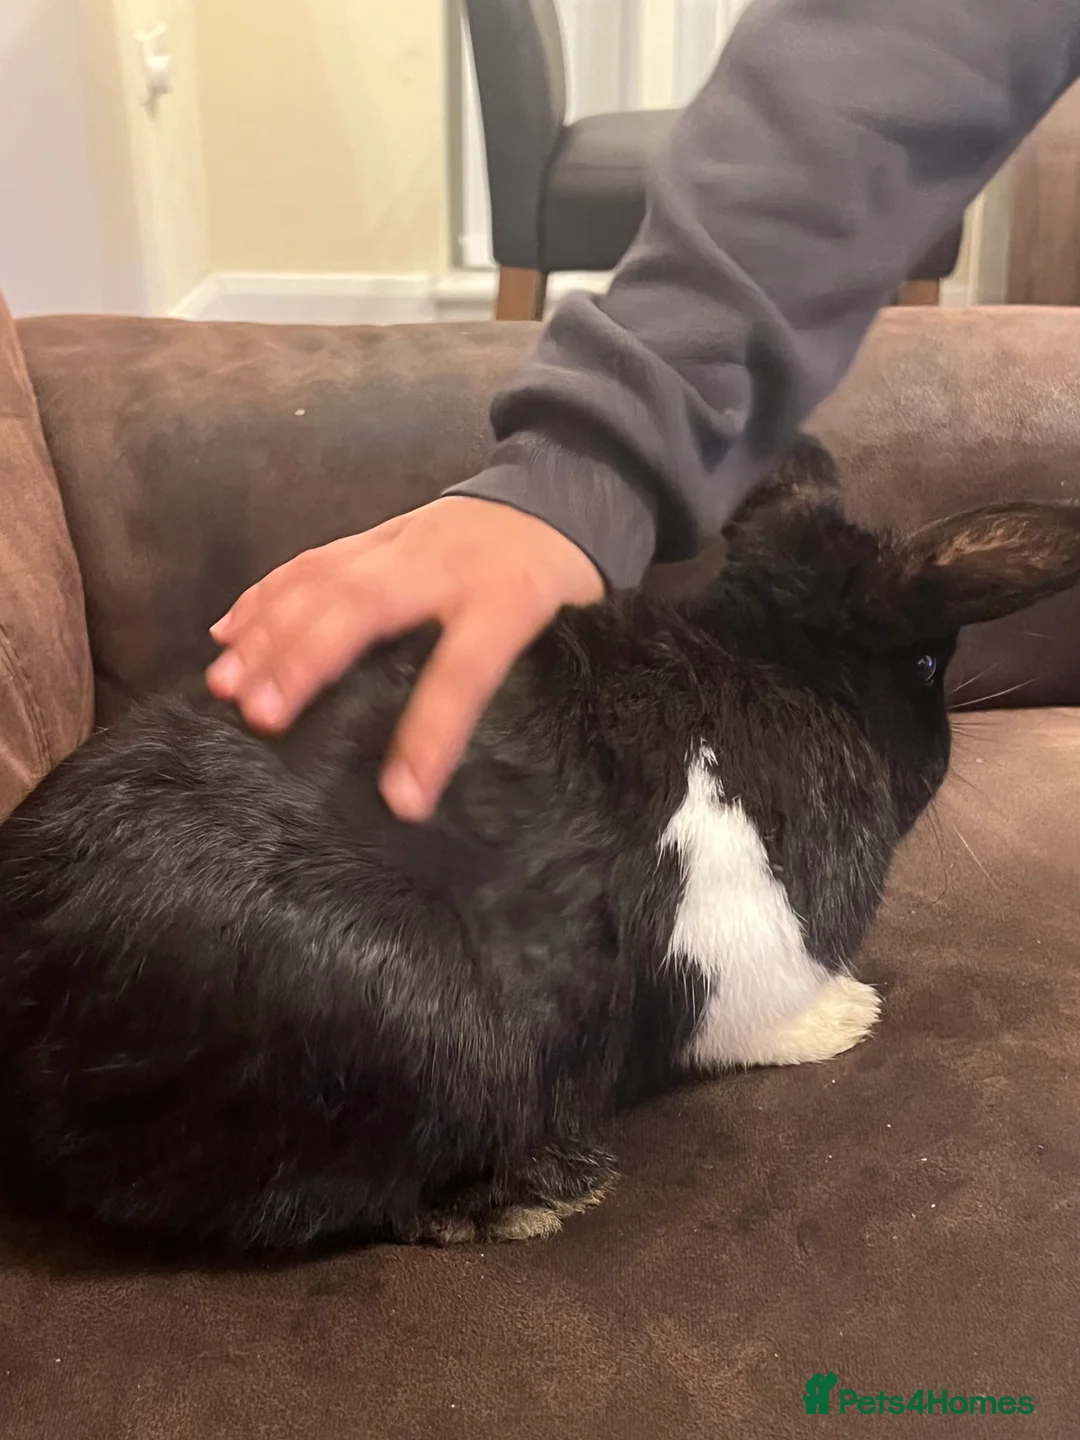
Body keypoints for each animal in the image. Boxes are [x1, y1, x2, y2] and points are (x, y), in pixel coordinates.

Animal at [1, 436, 1079, 1257]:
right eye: (930, 665)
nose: (943, 745)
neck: (773, 666)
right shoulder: (746, 953)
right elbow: (760, 1020)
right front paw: (852, 1016)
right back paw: (540, 1193)